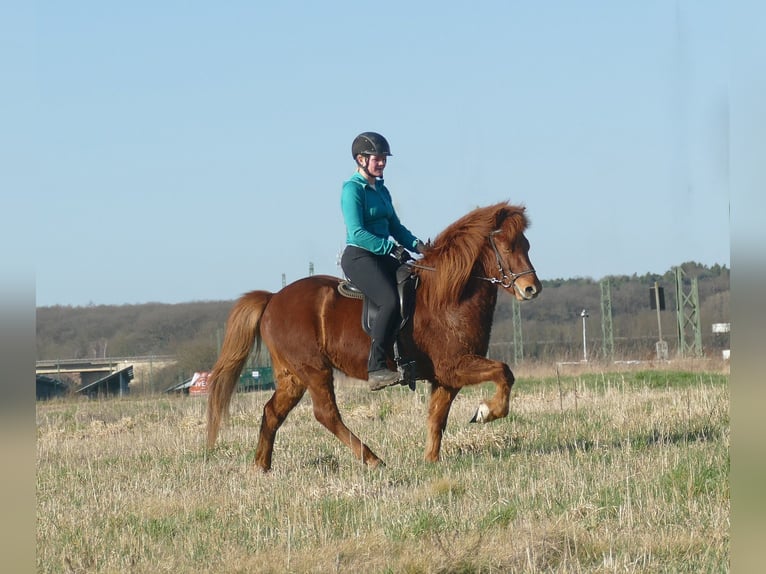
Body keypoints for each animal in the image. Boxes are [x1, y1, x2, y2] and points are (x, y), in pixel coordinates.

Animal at [206, 201, 542, 471]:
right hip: (314, 370)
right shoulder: (455, 365)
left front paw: (431, 461)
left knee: (272, 412)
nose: (531, 289)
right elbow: (504, 372)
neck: (448, 295)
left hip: (292, 376)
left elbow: (437, 417)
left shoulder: (446, 377)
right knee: (326, 414)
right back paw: (372, 459)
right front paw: (486, 412)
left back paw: (261, 466)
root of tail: (273, 298)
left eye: (527, 245)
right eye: (508, 247)